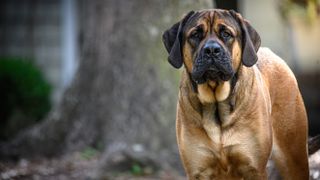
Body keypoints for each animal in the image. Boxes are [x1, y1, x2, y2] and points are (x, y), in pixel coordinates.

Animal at [162, 9, 310, 179]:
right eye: (196, 34)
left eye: (226, 34)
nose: (211, 50)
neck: (216, 104)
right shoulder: (198, 171)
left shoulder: (254, 168)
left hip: (293, 156)